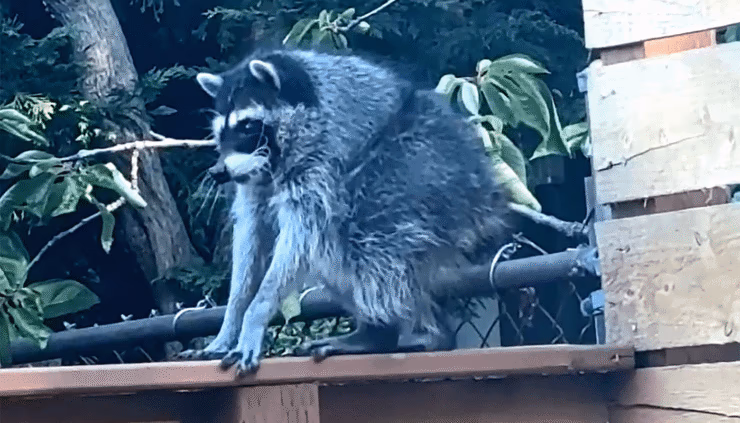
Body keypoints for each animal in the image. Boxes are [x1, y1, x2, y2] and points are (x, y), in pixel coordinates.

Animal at [177, 48, 513, 375]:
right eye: (219, 132)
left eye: (247, 126)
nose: (218, 172)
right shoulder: (255, 182)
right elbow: (251, 237)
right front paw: (231, 321)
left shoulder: (321, 162)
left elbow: (297, 240)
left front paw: (256, 313)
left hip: (419, 175)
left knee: (364, 245)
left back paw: (397, 334)